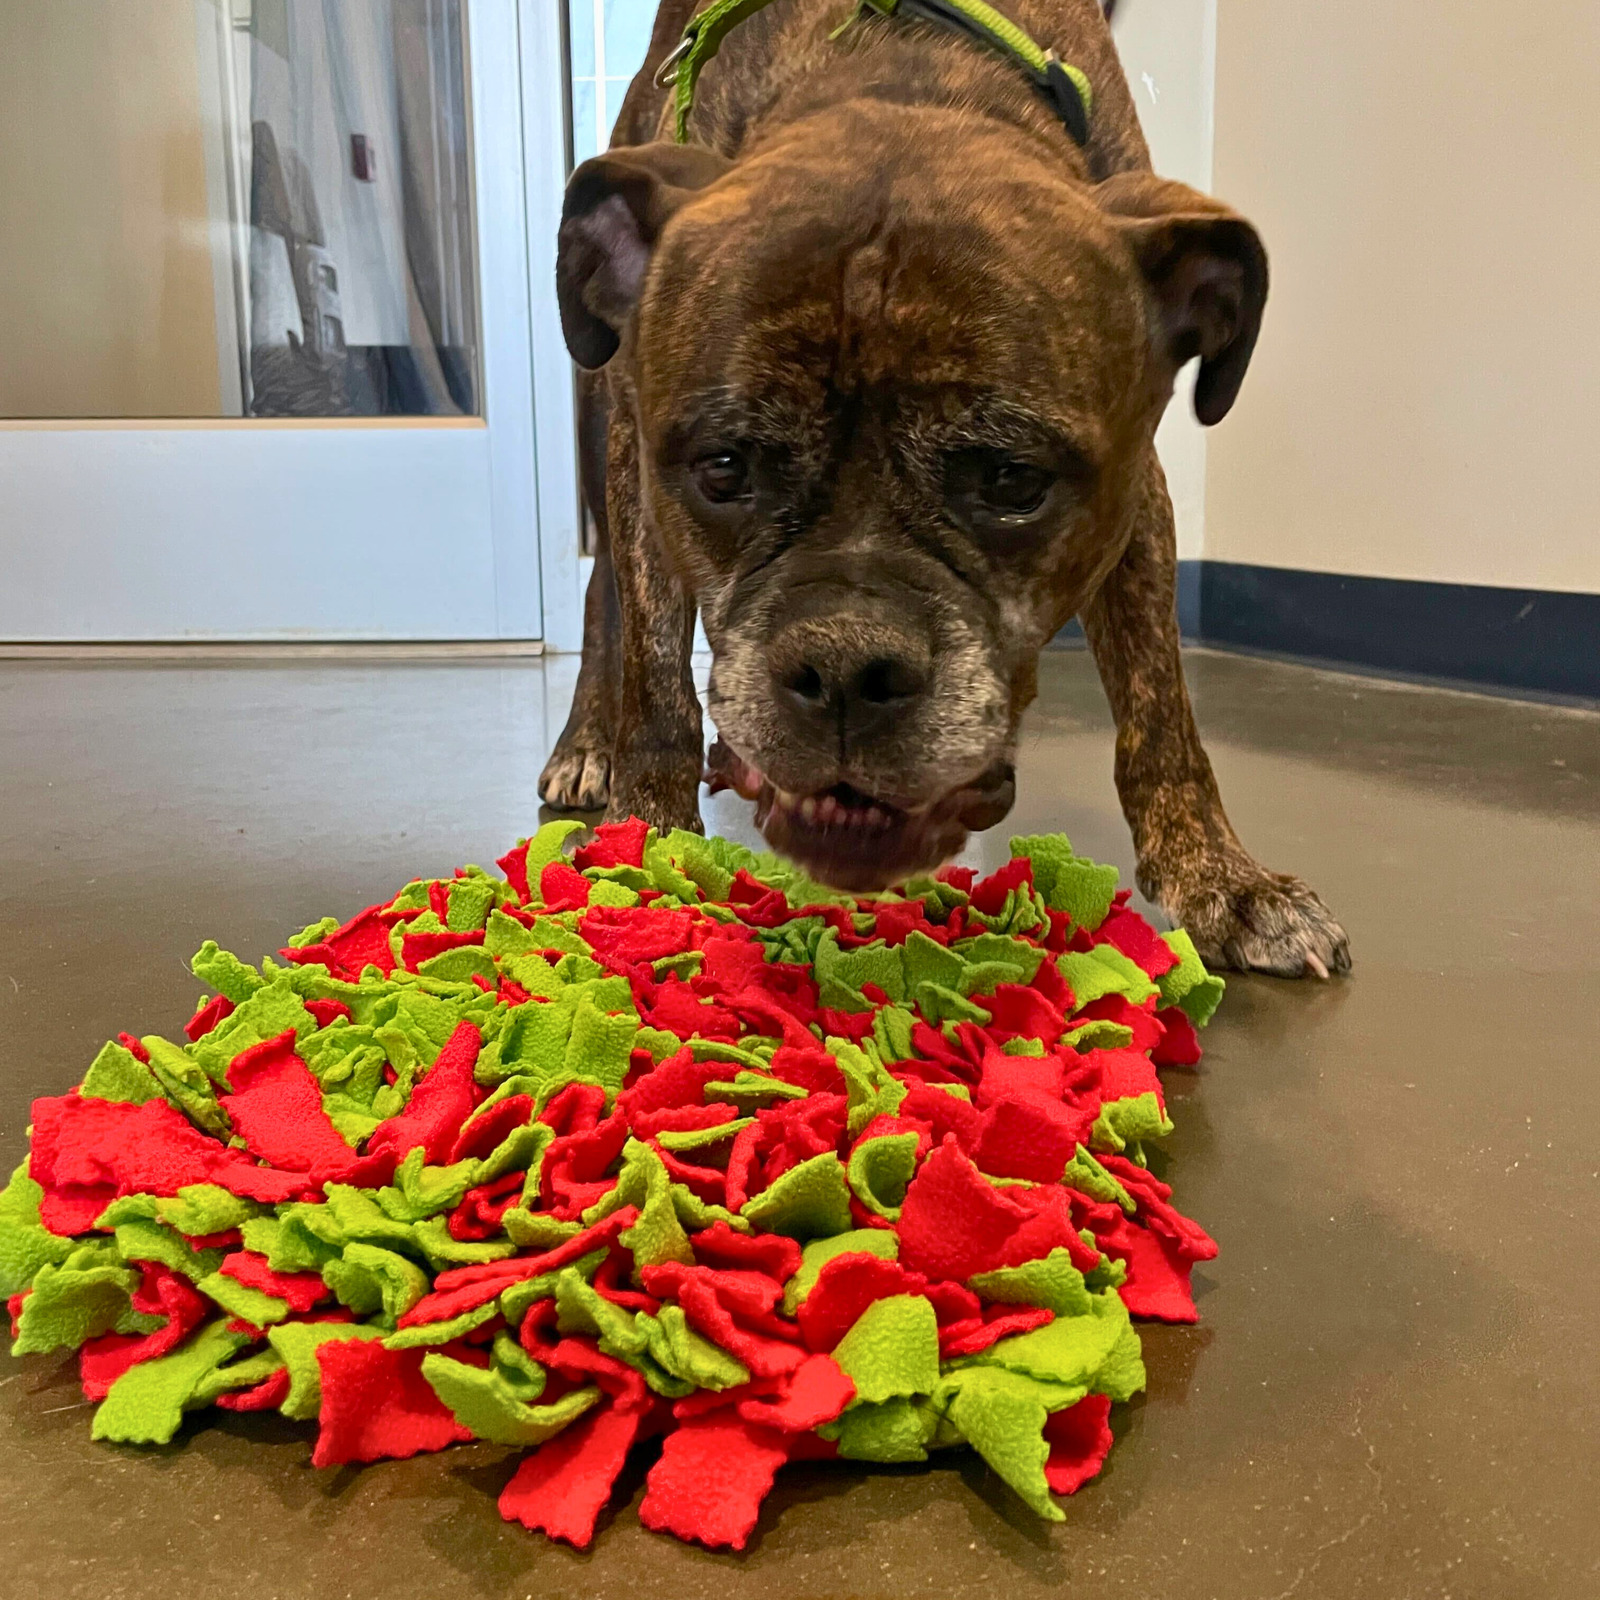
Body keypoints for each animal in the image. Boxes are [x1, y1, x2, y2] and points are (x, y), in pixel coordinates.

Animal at [540, 0, 1350, 972]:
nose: (844, 665)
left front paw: (1224, 878)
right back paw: (589, 744)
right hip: (603, 426)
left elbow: (1161, 708)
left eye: (1012, 478)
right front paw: (651, 838)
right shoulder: (642, 456)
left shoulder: (1139, 496)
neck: (902, 75)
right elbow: (658, 673)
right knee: (606, 599)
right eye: (724, 467)